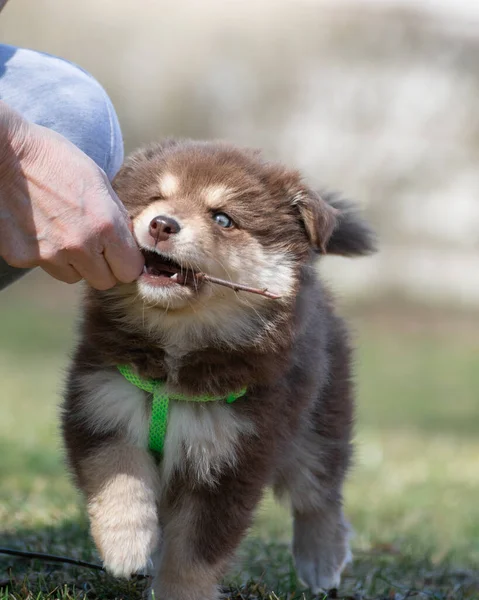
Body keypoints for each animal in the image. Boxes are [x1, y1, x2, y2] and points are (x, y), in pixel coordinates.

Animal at [61, 141, 376, 600]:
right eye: (156, 198)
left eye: (223, 218)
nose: (161, 224)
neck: (175, 355)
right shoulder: (101, 405)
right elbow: (119, 477)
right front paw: (127, 544)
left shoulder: (231, 459)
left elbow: (194, 554)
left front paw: (177, 592)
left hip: (318, 423)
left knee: (319, 492)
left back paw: (322, 561)